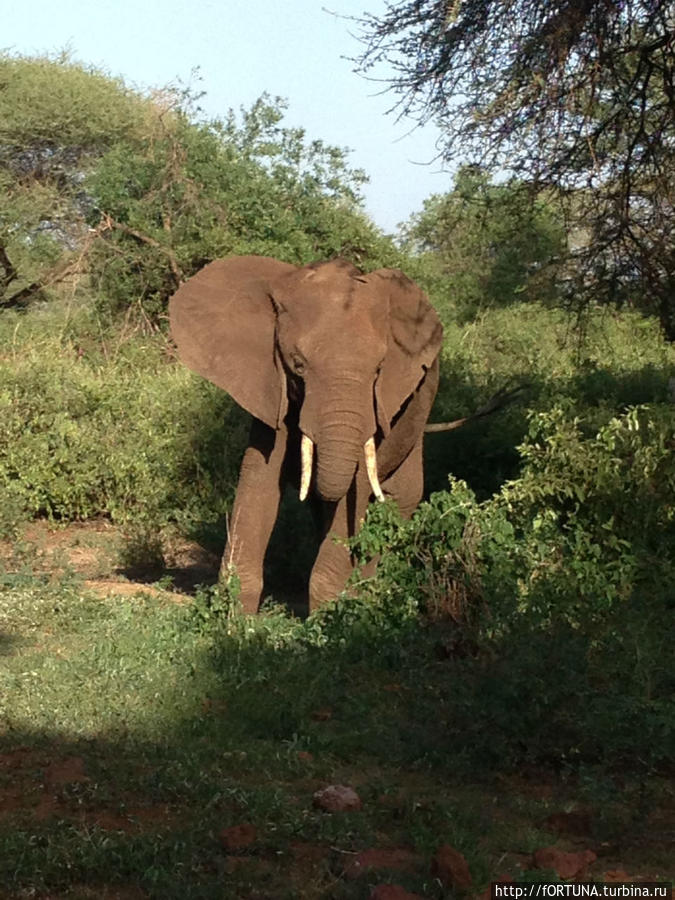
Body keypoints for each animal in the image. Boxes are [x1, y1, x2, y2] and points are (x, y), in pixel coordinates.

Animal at [169, 256, 444, 616]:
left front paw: (330, 619)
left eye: (379, 370)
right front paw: (233, 618)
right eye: (298, 365)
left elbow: (353, 492)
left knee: (398, 497)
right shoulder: (270, 385)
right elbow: (259, 478)